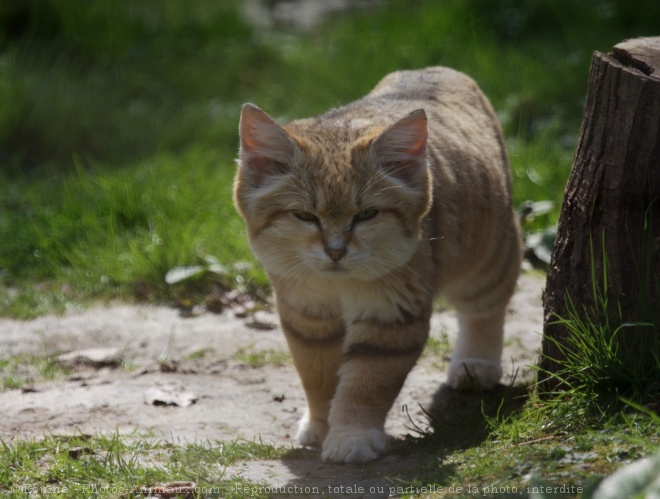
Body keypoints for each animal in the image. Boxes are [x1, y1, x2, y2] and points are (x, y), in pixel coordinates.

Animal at [232, 67, 520, 464]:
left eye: (367, 214)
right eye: (305, 216)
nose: (336, 251)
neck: (337, 286)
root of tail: (435, 69)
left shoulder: (391, 315)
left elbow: (366, 383)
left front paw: (351, 436)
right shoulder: (307, 315)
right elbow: (318, 376)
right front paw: (321, 425)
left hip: (488, 257)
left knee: (485, 309)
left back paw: (476, 364)